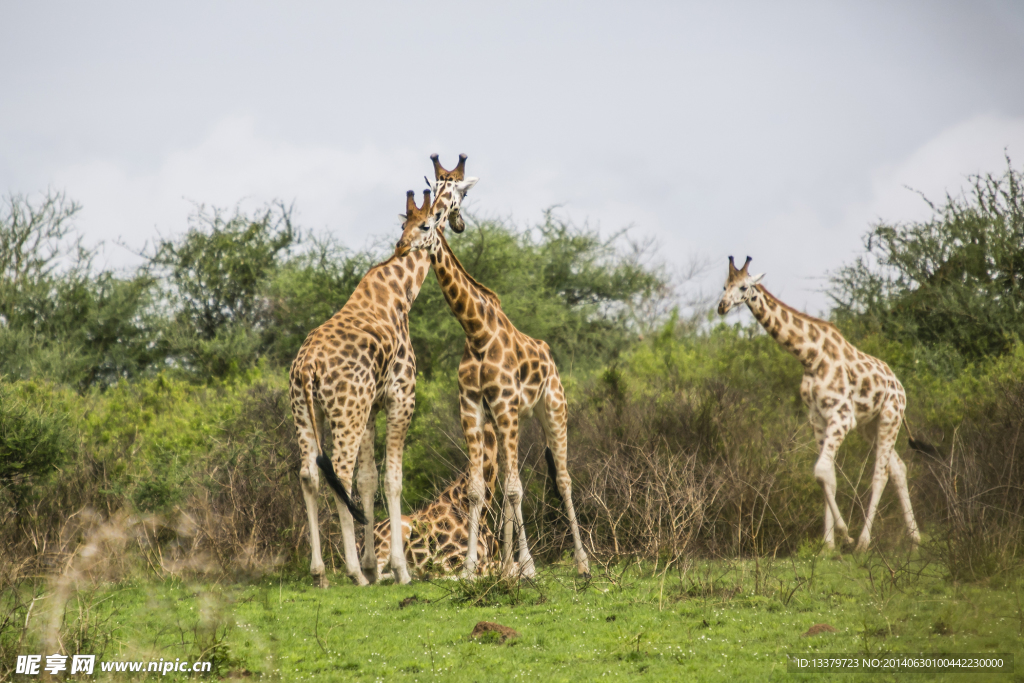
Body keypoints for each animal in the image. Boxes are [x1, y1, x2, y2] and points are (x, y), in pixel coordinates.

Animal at [290, 161, 477, 589]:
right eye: (460, 195)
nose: (459, 223)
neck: (401, 290)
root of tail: (307, 367)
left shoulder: (372, 407)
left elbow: (368, 480)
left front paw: (376, 566)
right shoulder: (400, 397)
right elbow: (392, 478)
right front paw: (397, 569)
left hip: (308, 413)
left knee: (309, 474)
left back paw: (320, 571)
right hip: (345, 411)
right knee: (337, 472)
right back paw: (352, 572)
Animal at [391, 158, 589, 577]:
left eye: (426, 225)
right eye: (401, 224)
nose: (400, 247)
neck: (477, 331)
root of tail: (550, 356)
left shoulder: (505, 405)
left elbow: (513, 488)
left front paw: (518, 566)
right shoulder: (473, 408)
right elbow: (478, 489)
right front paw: (475, 568)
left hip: (552, 410)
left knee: (562, 479)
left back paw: (581, 563)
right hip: (511, 420)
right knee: (516, 480)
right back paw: (516, 564)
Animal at [716, 255, 925, 548]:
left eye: (744, 287)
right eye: (725, 286)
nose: (722, 307)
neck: (810, 357)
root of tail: (901, 387)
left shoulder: (841, 417)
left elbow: (821, 470)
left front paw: (845, 535)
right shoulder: (818, 418)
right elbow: (827, 476)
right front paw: (828, 545)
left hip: (889, 417)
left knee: (881, 473)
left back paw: (864, 542)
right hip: (869, 425)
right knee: (898, 468)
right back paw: (915, 539)